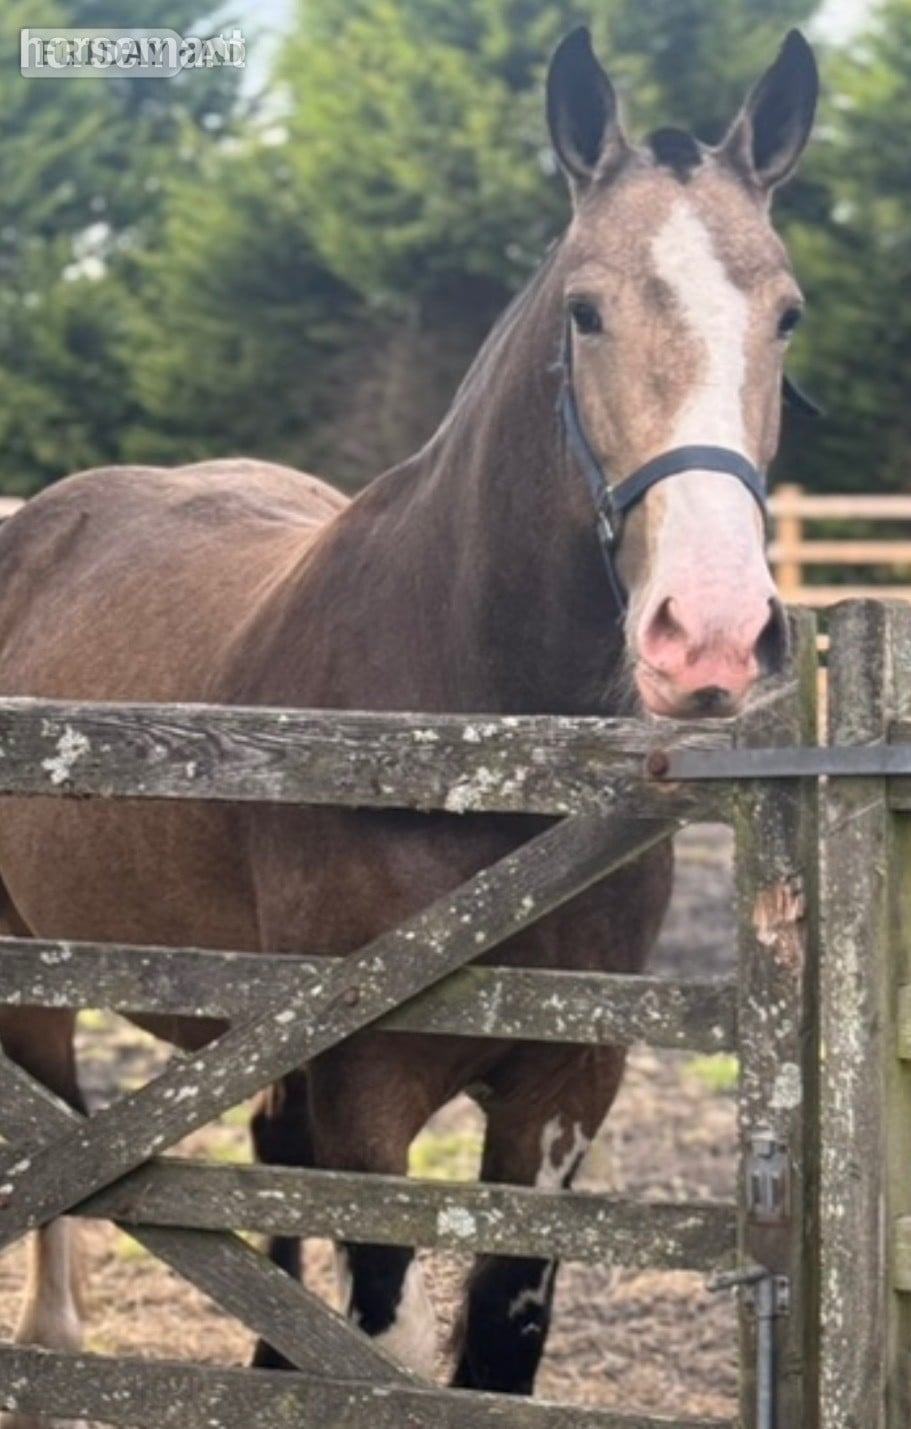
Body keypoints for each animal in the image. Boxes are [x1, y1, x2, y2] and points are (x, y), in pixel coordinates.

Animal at [0, 25, 816, 1426]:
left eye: (785, 314)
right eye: (583, 309)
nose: (708, 630)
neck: (475, 753)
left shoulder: (560, 1095)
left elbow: (495, 1341)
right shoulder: (366, 1088)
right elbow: (375, 1322)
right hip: (35, 969)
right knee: (55, 1123)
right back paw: (53, 1335)